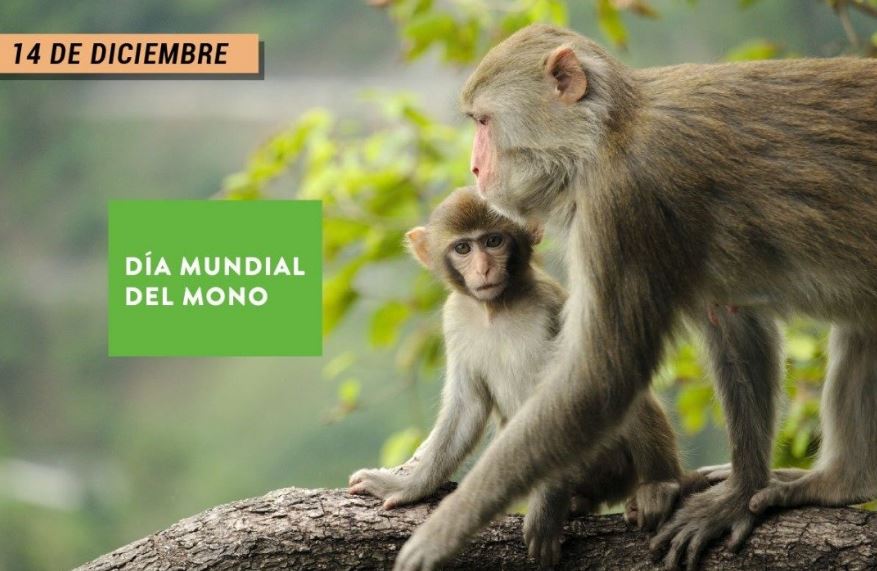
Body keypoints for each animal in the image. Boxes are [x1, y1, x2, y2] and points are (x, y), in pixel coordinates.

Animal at [348, 186, 703, 566]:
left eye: (493, 241)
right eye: (463, 248)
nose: (484, 268)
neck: (496, 309)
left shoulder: (549, 310)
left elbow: (571, 399)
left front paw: (545, 512)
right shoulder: (455, 318)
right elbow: (467, 410)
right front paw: (408, 486)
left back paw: (658, 487)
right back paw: (580, 500)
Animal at [392, 24, 877, 571]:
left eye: (483, 122)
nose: (476, 168)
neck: (607, 133)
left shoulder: (621, 201)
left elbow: (603, 374)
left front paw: (442, 532)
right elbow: (731, 320)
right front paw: (740, 492)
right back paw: (839, 482)